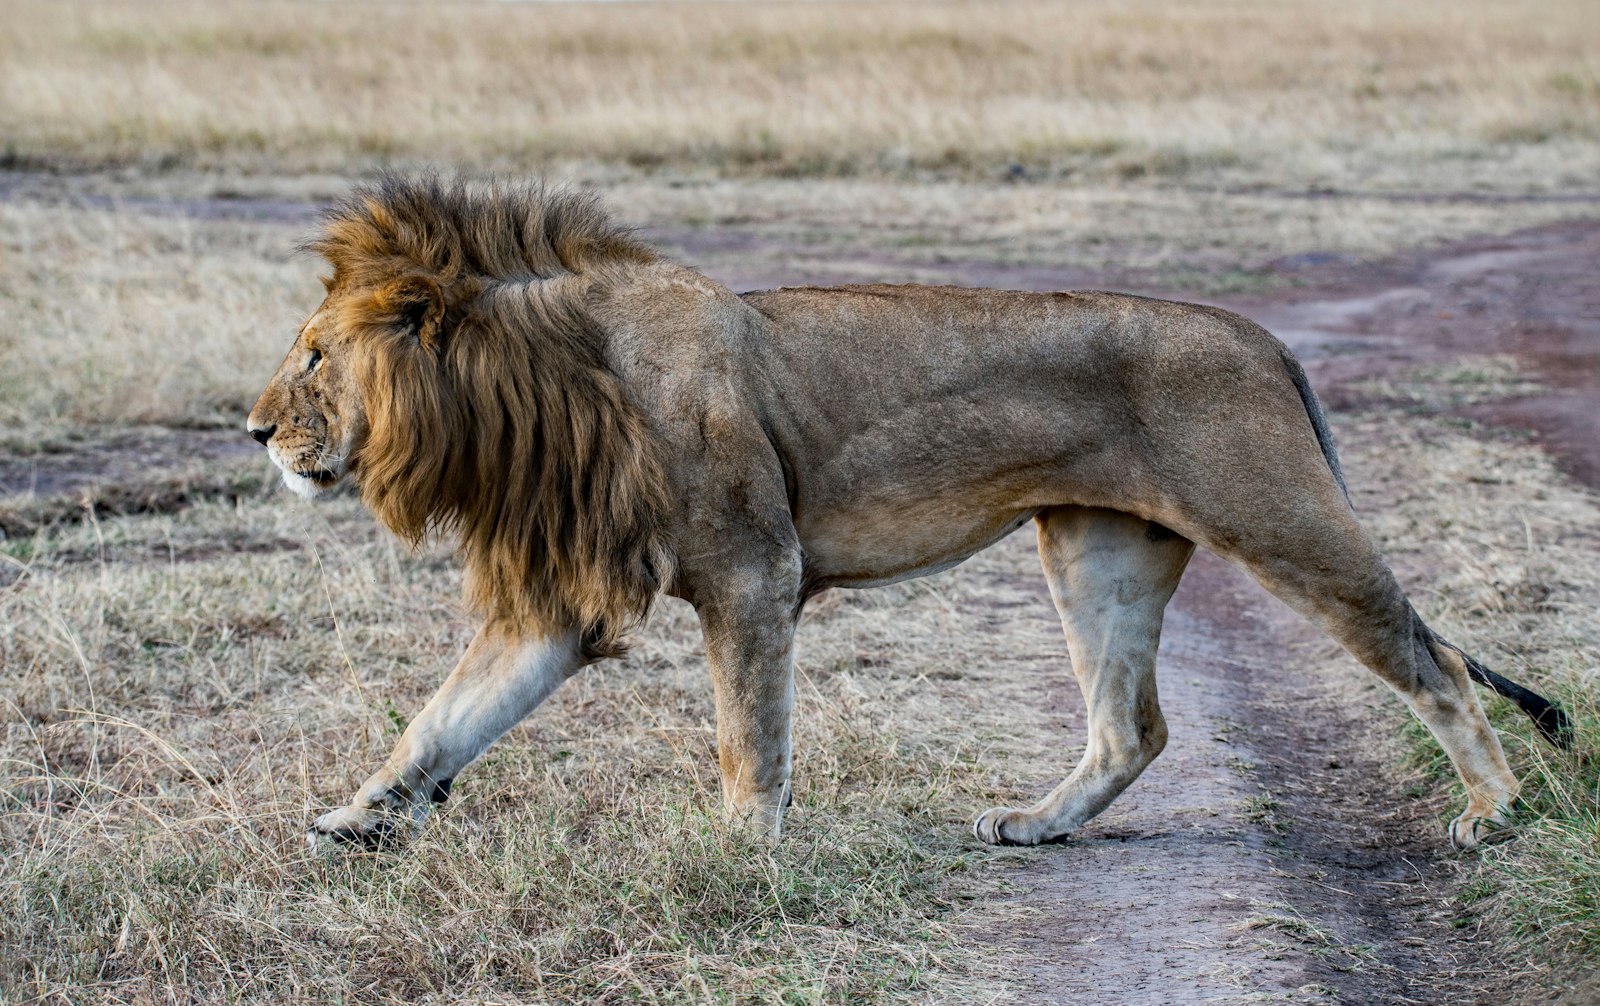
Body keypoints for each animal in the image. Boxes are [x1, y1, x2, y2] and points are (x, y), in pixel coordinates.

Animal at [243, 176, 1568, 850]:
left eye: (312, 358)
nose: (251, 432)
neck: (545, 387)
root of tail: (1262, 335)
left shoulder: (752, 571)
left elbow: (748, 734)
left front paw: (742, 854)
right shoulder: (561, 603)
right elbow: (442, 719)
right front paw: (357, 817)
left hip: (1284, 522)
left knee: (1436, 662)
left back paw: (1494, 812)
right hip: (1095, 549)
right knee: (1131, 726)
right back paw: (1037, 824)